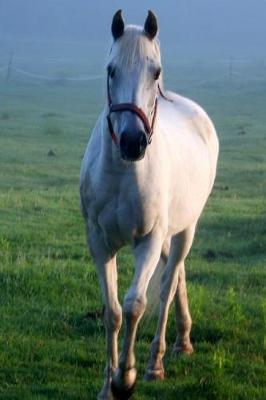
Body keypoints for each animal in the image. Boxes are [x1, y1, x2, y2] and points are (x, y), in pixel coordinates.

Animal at [80, 10, 219, 400]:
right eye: (111, 69)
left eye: (155, 72)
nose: (132, 142)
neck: (122, 173)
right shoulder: (100, 244)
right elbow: (112, 311)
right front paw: (107, 386)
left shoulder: (149, 240)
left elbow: (135, 305)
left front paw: (125, 378)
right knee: (177, 274)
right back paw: (183, 340)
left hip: (185, 229)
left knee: (169, 283)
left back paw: (156, 362)